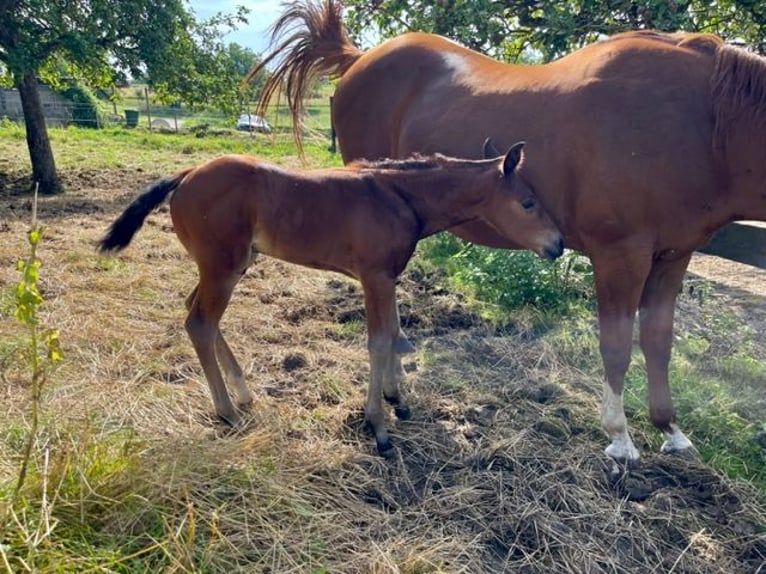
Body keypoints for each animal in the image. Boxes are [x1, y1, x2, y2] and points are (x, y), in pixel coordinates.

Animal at [100, 148, 564, 460]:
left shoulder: (389, 277)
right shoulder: (374, 276)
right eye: (527, 202)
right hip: (222, 266)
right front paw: (378, 428)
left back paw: (244, 393)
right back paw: (228, 412)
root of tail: (188, 173)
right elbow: (379, 340)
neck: (400, 198)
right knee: (199, 322)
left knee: (198, 313)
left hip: (229, 265)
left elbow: (396, 333)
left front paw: (398, 398)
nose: (558, 245)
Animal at [248, 0, 766, 462]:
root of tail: (360, 59)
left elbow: (659, 343)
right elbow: (616, 345)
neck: (697, 122)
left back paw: (395, 396)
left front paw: (670, 430)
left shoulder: (673, 256)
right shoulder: (621, 255)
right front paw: (619, 438)